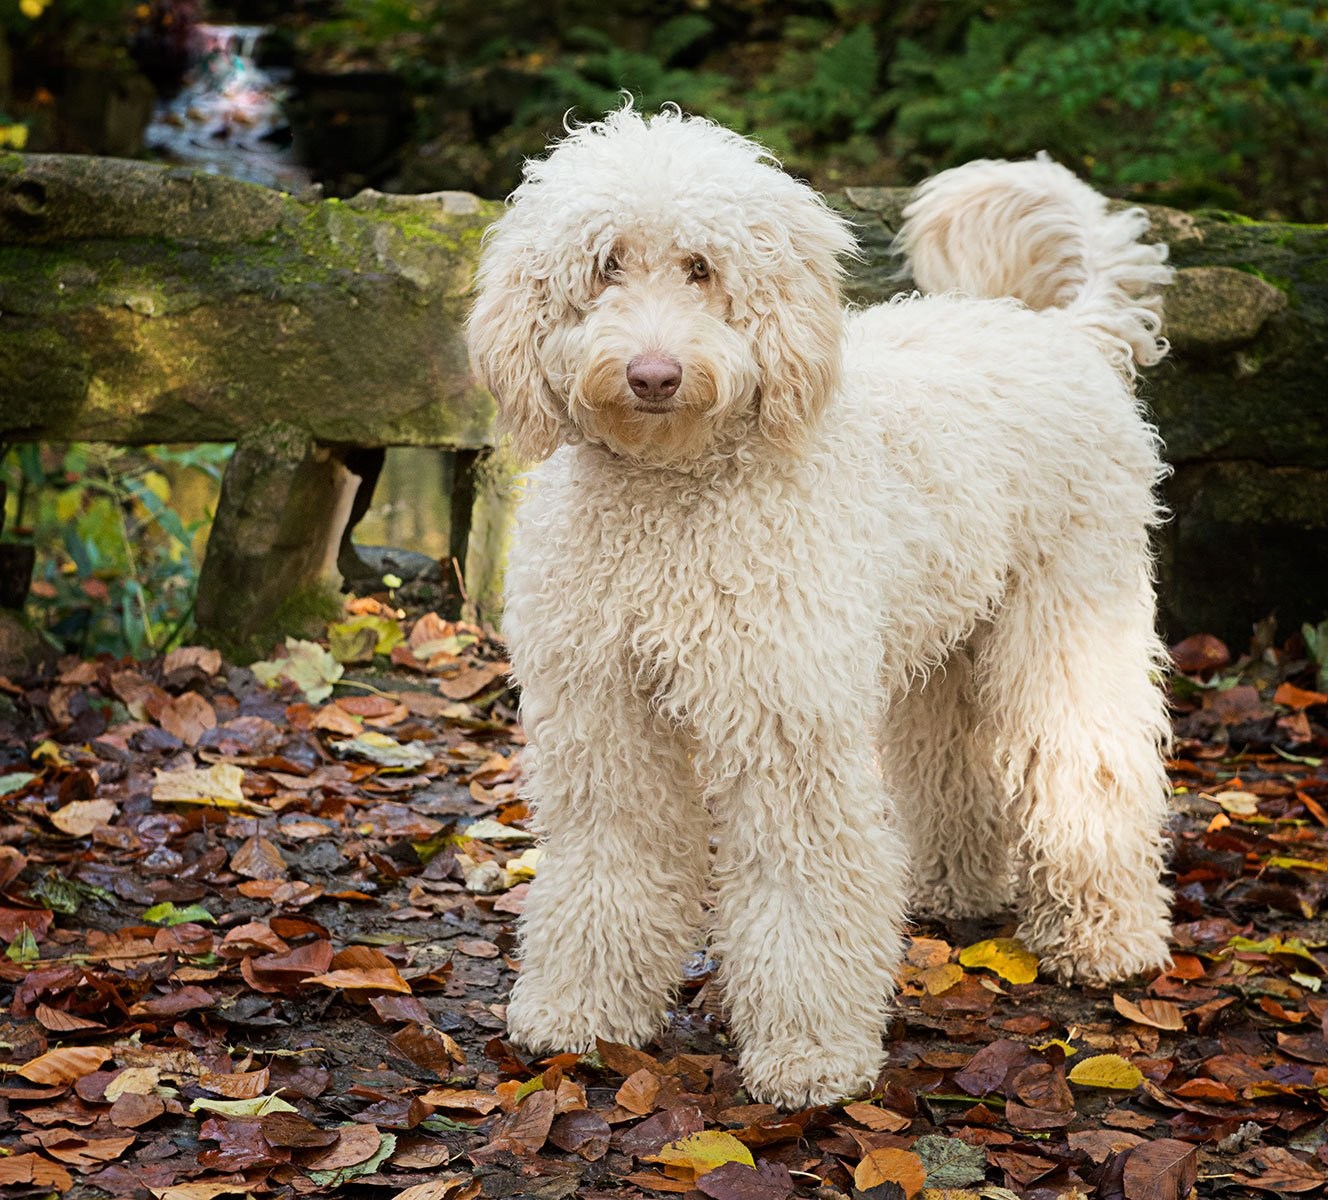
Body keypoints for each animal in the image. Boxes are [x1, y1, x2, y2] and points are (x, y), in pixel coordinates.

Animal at [467, 102, 1173, 1104]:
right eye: (606, 264)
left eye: (702, 267)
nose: (652, 375)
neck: (673, 493)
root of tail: (1062, 334)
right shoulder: (605, 716)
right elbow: (614, 854)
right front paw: (582, 1011)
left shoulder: (784, 719)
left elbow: (799, 883)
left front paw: (809, 1058)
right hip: (943, 639)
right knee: (951, 759)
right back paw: (955, 886)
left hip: (1071, 616)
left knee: (1090, 759)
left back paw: (1105, 936)